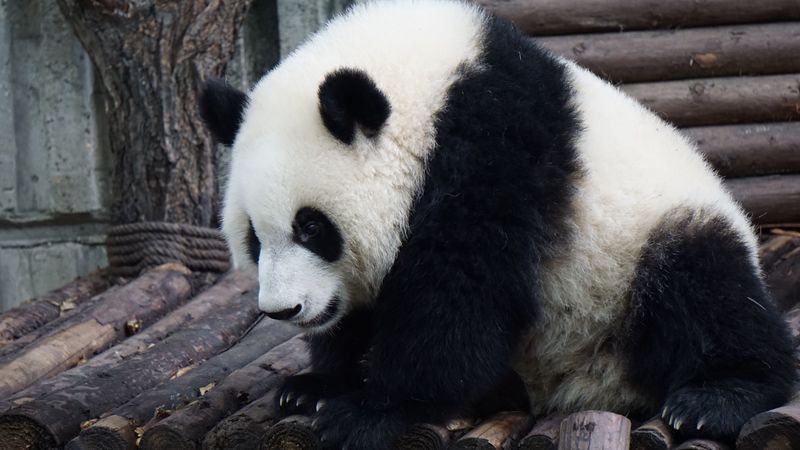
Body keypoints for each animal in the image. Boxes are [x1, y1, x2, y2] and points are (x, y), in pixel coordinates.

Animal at [200, 0, 796, 448]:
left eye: (311, 227)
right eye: (253, 237)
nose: (284, 310)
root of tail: (587, 387)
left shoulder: (493, 150)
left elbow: (461, 294)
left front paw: (371, 411)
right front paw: (315, 386)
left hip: (646, 248)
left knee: (704, 287)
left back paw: (714, 398)